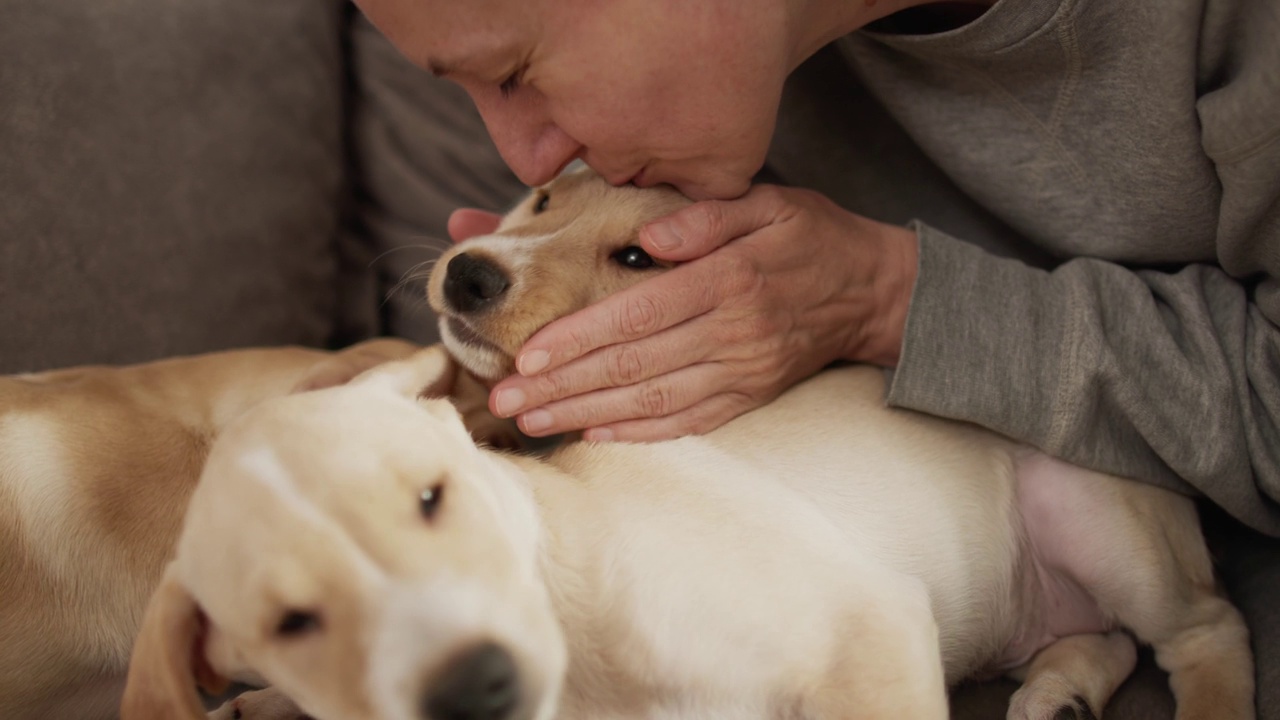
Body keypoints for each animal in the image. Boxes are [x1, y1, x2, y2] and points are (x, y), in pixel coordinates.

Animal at [122, 170, 1249, 712]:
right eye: (540, 198)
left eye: (634, 258)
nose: (470, 273)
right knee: (1104, 637)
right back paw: (1056, 690)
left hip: (1101, 520)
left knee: (1202, 630)